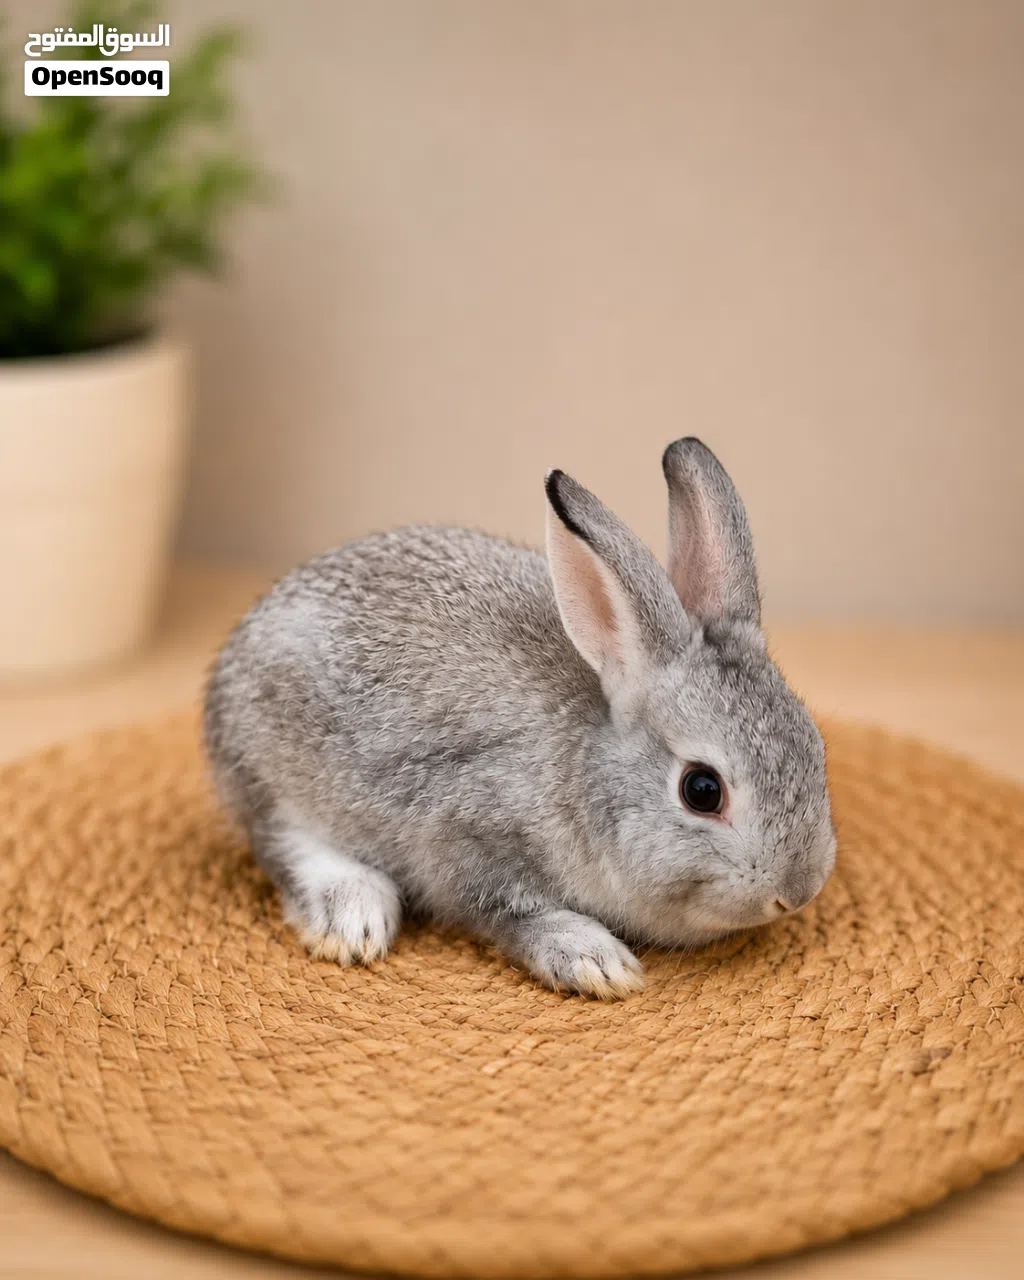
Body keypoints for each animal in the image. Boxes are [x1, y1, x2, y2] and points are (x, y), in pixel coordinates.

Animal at [204, 438, 836, 999]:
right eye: (702, 790)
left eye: (816, 747)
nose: (798, 891)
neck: (584, 770)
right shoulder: (467, 834)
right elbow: (508, 912)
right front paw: (595, 963)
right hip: (273, 767)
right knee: (282, 842)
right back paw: (353, 915)